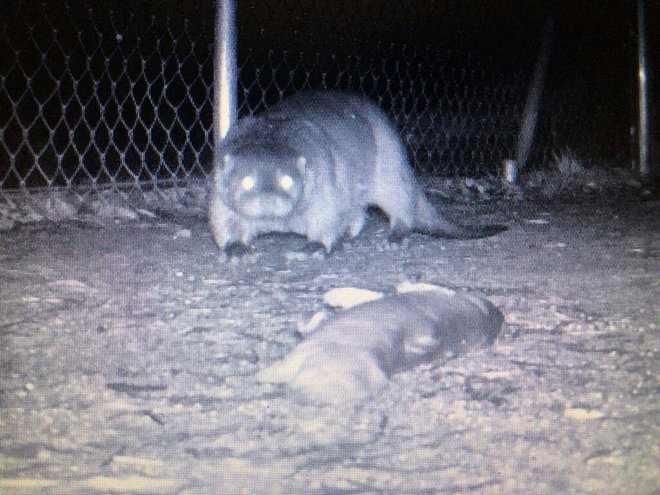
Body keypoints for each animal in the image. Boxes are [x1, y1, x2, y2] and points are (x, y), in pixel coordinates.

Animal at [209, 90, 502, 252]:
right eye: (247, 181)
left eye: (287, 181)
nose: (268, 199)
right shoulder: (219, 193)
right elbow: (223, 221)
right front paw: (236, 249)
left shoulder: (326, 185)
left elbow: (327, 218)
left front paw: (314, 247)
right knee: (359, 213)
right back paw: (349, 235)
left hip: (390, 168)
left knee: (402, 209)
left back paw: (393, 237)